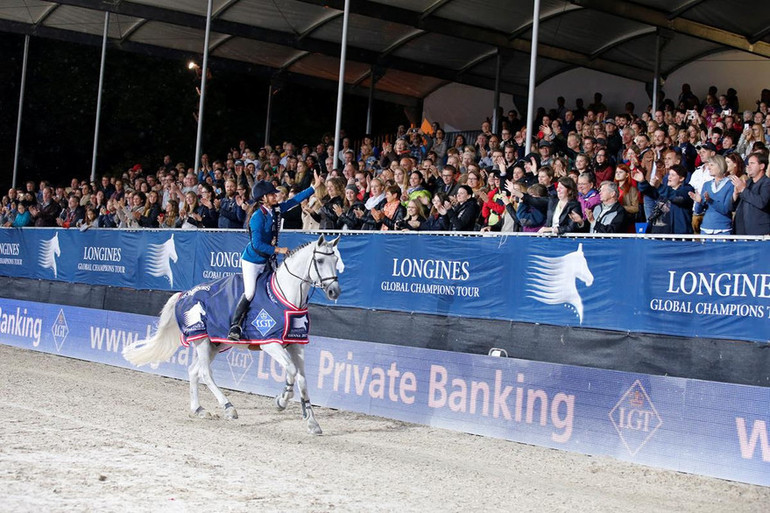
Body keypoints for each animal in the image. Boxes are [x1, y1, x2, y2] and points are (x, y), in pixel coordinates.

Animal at [123, 235, 340, 432]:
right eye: (320, 261)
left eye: (336, 260)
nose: (334, 292)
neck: (286, 295)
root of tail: (184, 294)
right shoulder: (269, 342)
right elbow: (292, 370)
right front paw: (281, 401)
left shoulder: (296, 344)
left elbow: (302, 379)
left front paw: (312, 422)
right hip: (201, 340)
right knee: (205, 373)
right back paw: (228, 407)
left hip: (214, 344)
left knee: (193, 371)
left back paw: (199, 409)